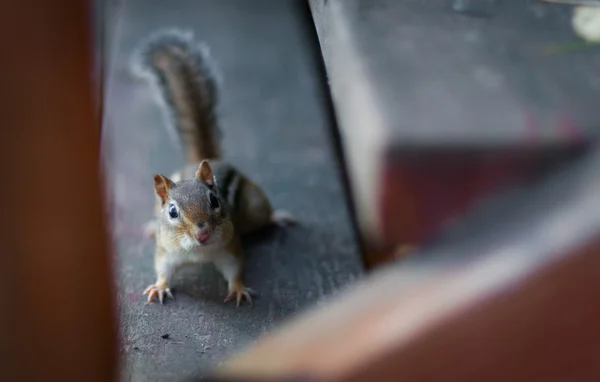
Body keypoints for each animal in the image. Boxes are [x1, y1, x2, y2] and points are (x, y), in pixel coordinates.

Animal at [136, 29, 296, 308]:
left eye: (215, 200)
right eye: (172, 211)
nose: (202, 234)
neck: (197, 252)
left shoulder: (229, 247)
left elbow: (236, 269)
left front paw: (239, 290)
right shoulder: (165, 251)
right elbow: (162, 269)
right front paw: (159, 286)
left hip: (254, 206)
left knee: (262, 217)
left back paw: (277, 217)